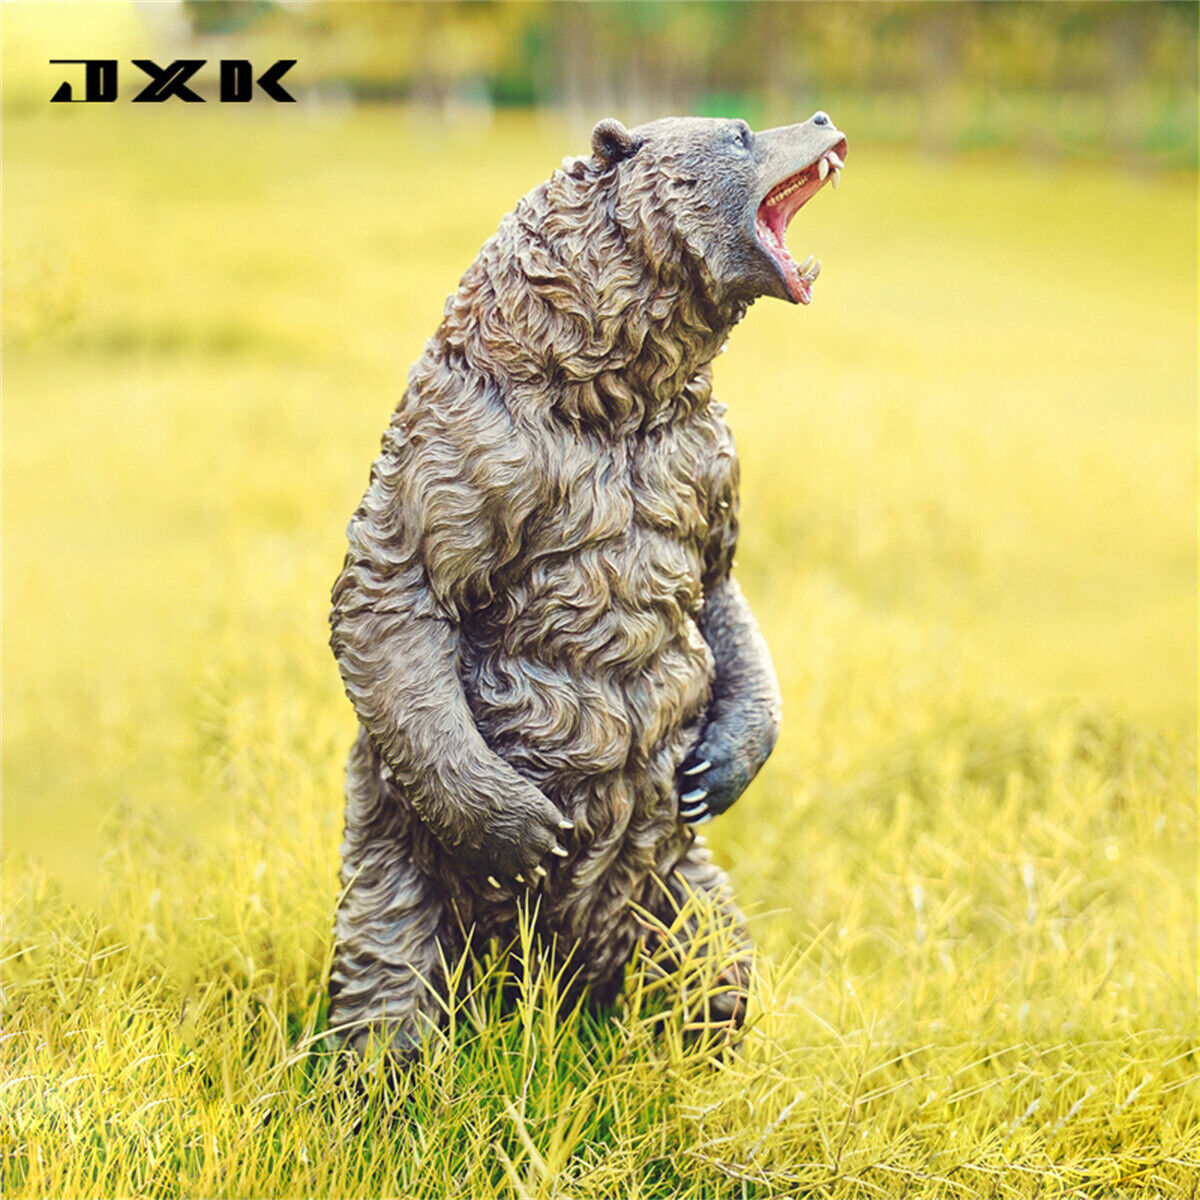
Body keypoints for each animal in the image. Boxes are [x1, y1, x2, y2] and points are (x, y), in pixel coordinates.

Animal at [328, 112, 847, 1057]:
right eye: (739, 132)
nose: (824, 120)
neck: (617, 404)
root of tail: (541, 980)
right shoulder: (473, 443)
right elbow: (396, 594)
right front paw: (525, 827)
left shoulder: (705, 463)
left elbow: (721, 593)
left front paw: (718, 767)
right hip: (401, 861)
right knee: (392, 978)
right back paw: (388, 1072)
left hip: (675, 883)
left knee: (711, 964)